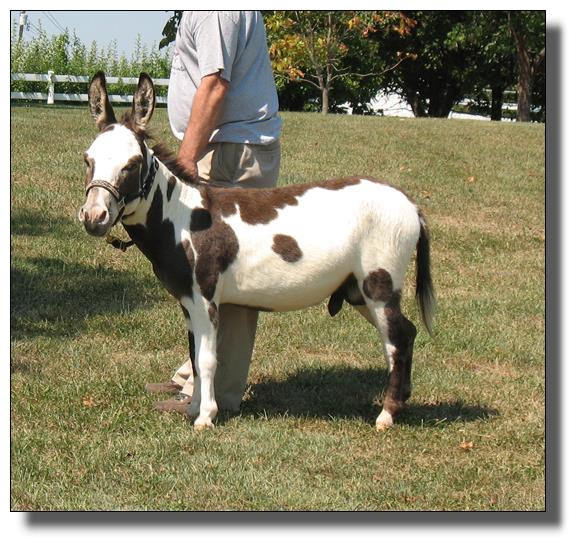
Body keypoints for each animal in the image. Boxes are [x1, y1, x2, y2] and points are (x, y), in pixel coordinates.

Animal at [78, 72, 436, 431]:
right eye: (88, 160)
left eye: (132, 164)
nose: (94, 217)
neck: (180, 216)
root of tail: (410, 204)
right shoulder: (188, 302)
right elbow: (194, 355)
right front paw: (193, 407)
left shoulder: (205, 299)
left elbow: (207, 359)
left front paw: (205, 417)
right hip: (357, 291)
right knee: (407, 333)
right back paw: (400, 402)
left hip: (379, 285)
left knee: (396, 342)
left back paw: (386, 415)